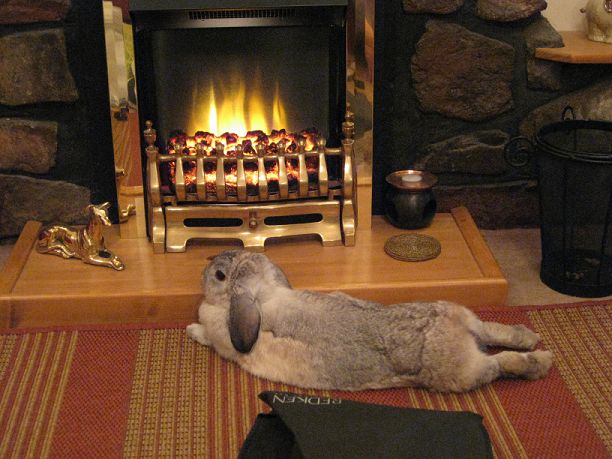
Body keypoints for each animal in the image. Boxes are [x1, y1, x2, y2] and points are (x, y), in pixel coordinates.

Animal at [186, 250, 553, 392]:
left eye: (220, 276)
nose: (204, 269)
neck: (264, 295)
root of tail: (456, 331)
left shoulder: (224, 338)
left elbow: (209, 335)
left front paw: (192, 329)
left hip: (460, 375)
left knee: (501, 363)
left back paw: (542, 361)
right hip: (463, 315)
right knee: (493, 331)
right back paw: (528, 337)